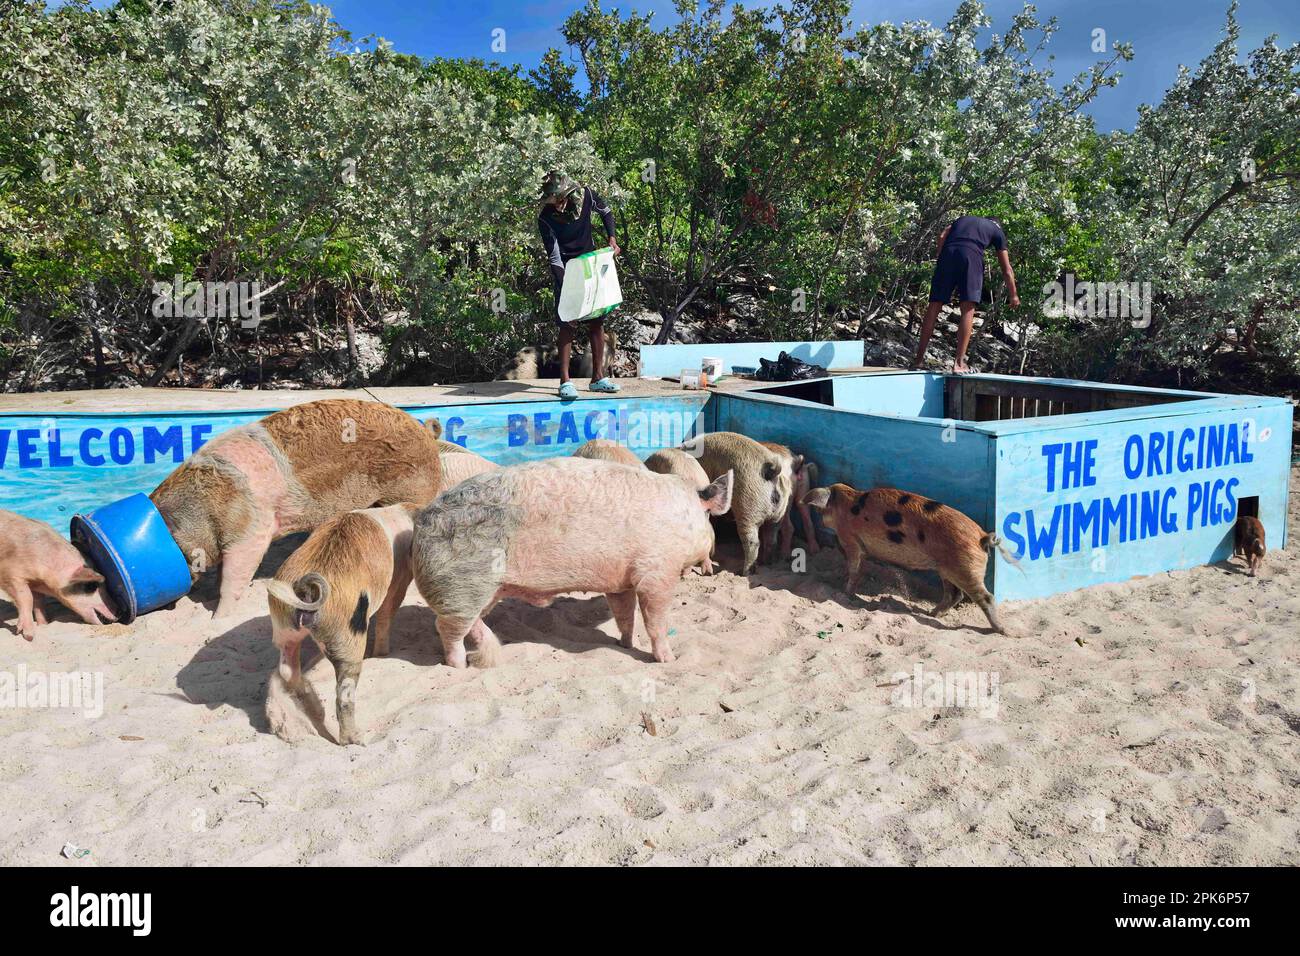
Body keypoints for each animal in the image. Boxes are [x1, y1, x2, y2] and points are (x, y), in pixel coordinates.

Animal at [1, 509, 116, 642]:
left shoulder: (35, 584)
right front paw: (28, 636)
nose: (119, 613)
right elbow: (27, 598)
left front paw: (44, 624)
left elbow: (39, 602)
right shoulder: (10, 574)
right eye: (91, 586)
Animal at [150, 398, 444, 616]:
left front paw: (218, 619)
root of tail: (425, 431)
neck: (204, 509)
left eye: (178, 545)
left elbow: (234, 576)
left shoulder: (250, 532)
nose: (167, 607)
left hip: (414, 490)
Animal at [267, 502, 418, 749]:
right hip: (346, 635)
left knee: (287, 668)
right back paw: (356, 740)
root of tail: (305, 591)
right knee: (344, 694)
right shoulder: (398, 580)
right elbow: (387, 613)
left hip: (283, 626)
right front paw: (382, 654)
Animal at [410, 455, 733, 665]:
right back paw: (459, 665)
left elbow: (625, 616)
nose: (712, 553)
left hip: (483, 591)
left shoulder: (621, 581)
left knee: (468, 622)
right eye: (708, 517)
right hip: (461, 586)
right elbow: (656, 621)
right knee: (447, 628)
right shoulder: (656, 572)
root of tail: (422, 522)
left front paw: (626, 644)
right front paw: (668, 659)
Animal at [691, 434, 790, 574]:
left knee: (752, 542)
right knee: (772, 536)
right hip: (779, 512)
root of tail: (772, 471)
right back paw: (767, 563)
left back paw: (745, 572)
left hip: (748, 505)